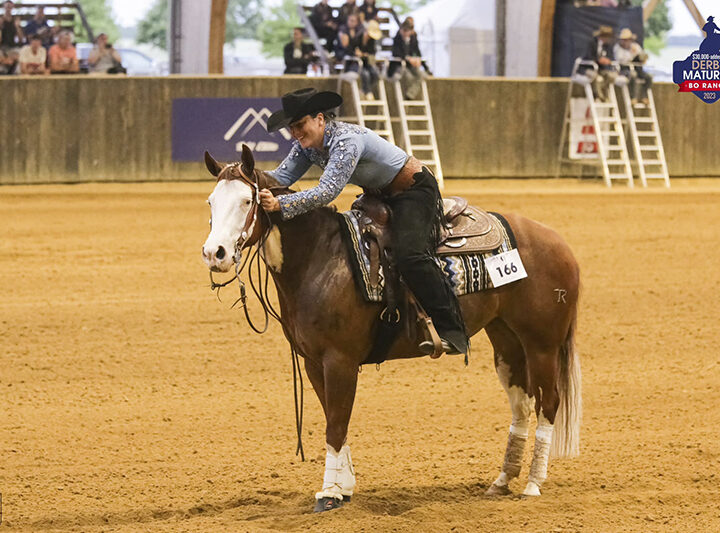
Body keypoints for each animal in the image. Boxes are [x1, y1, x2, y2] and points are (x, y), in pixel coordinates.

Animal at [200, 145, 584, 512]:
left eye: (247, 201)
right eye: (211, 201)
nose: (215, 253)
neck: (321, 257)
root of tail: (559, 242)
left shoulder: (339, 360)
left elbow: (335, 424)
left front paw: (329, 494)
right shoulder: (312, 362)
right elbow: (334, 419)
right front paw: (344, 487)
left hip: (542, 344)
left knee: (548, 402)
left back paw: (533, 483)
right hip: (506, 340)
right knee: (522, 404)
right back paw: (502, 481)